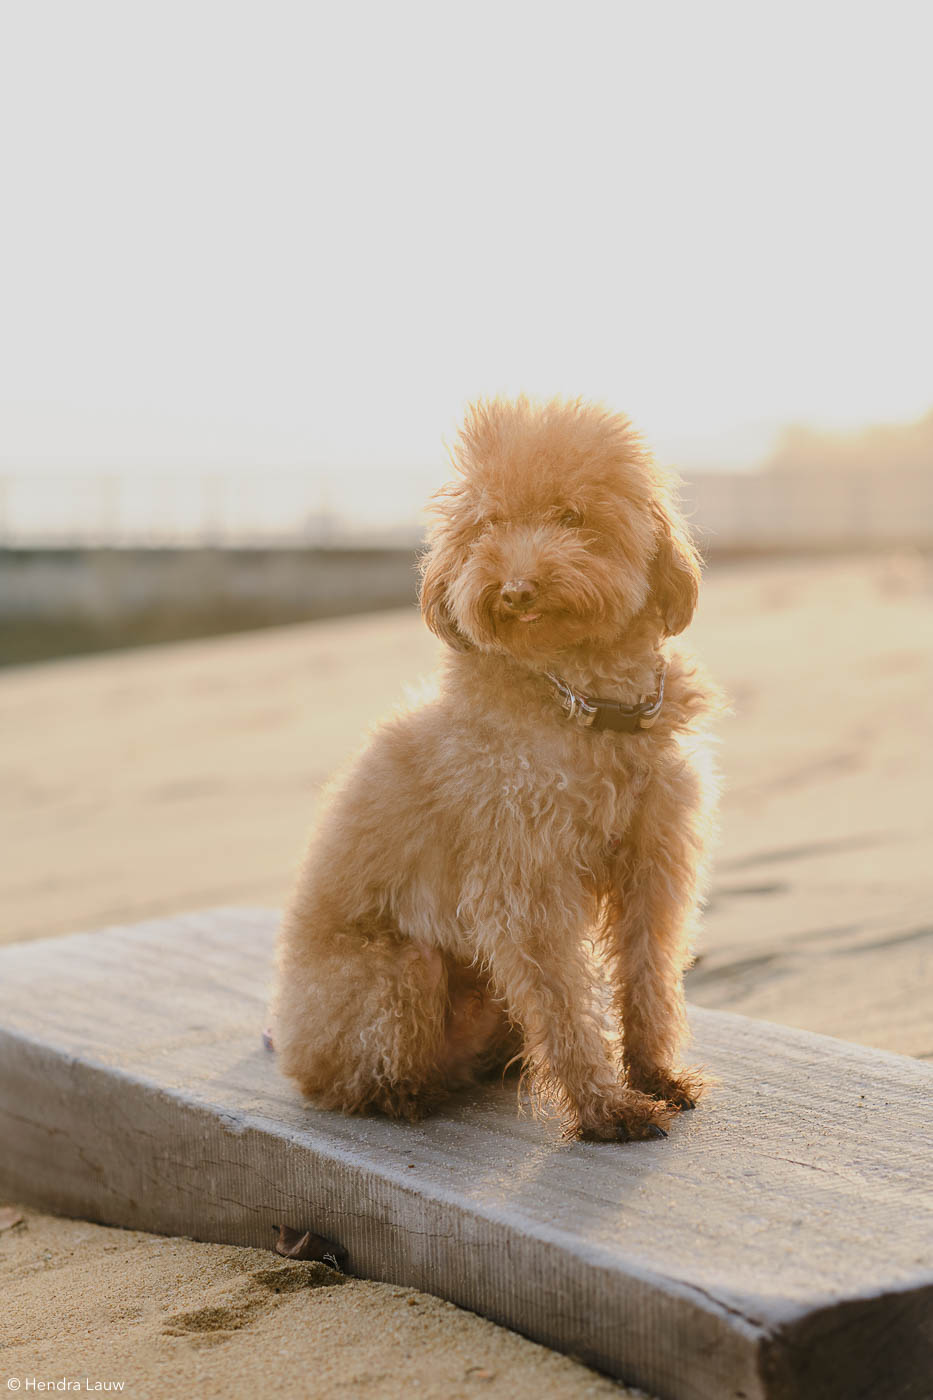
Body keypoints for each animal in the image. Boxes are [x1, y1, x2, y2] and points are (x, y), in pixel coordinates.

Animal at [273, 392, 714, 1136]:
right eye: (490, 525)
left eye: (572, 516)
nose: (515, 590)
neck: (583, 702)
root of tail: (289, 1043)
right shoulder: (524, 884)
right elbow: (565, 1001)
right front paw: (605, 1107)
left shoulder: (652, 861)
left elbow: (646, 975)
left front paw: (654, 1074)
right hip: (396, 971)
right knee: (359, 1075)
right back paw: (402, 1096)